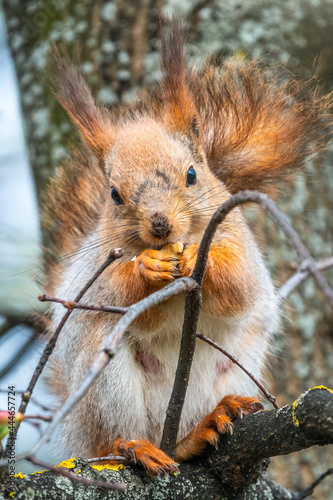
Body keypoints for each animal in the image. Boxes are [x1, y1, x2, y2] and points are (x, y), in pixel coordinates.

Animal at [42, 17, 328, 474]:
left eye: (192, 174)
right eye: (114, 194)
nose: (160, 224)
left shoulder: (240, 244)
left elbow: (240, 287)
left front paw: (199, 259)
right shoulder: (98, 272)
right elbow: (122, 298)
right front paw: (147, 269)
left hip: (236, 366)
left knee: (186, 438)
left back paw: (208, 423)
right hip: (105, 384)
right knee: (118, 435)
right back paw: (135, 446)